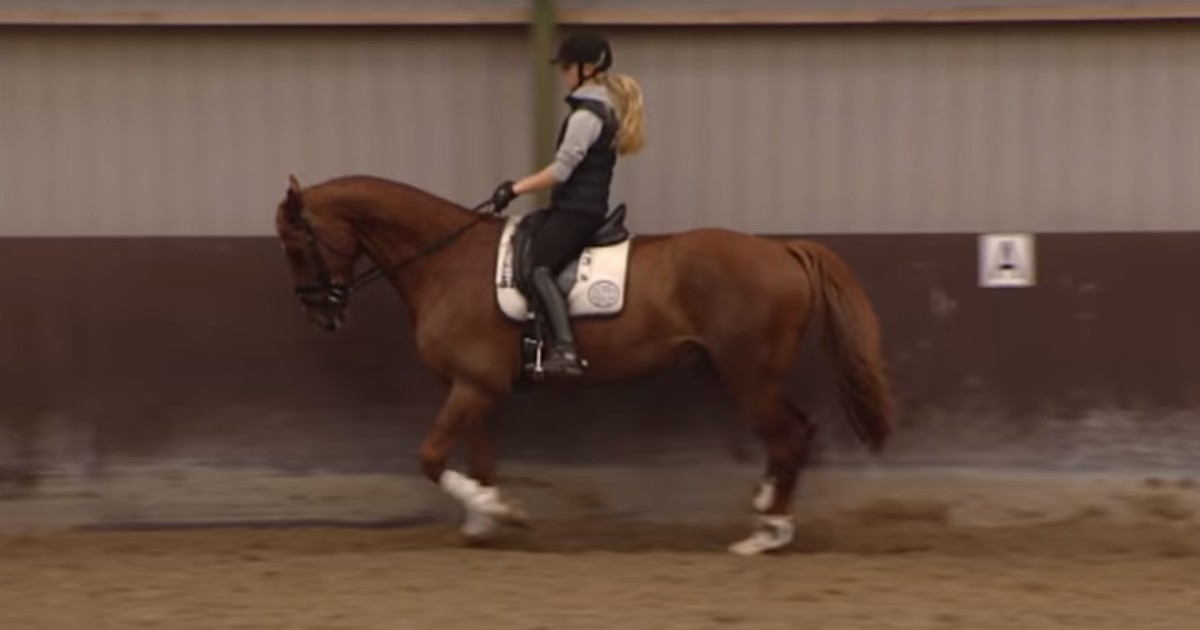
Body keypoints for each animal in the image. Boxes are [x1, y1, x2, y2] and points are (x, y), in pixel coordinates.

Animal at [272, 173, 896, 555]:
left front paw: (502, 512)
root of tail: (783, 249)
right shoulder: (479, 388)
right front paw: (485, 520)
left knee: (788, 435)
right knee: (795, 431)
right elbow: (480, 457)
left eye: (297, 246)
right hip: (748, 373)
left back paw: (767, 533)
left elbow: (430, 456)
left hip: (749, 373)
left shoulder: (472, 386)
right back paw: (768, 509)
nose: (322, 314)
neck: (448, 262)